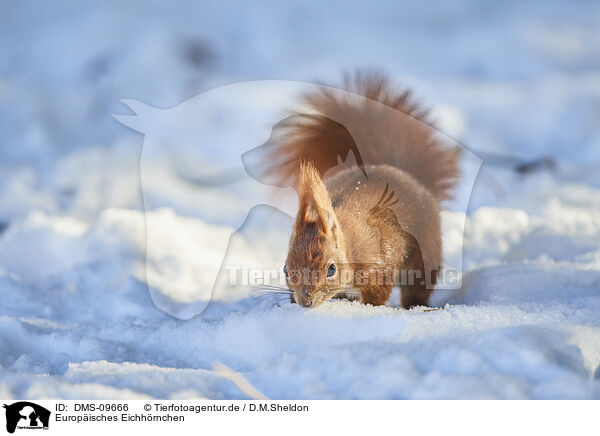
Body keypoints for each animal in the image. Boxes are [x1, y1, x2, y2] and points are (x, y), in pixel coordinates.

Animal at [260, 71, 458, 308]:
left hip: (424, 252)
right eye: (285, 269)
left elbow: (378, 292)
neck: (350, 241)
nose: (305, 302)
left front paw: (367, 309)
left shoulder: (378, 262)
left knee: (418, 287)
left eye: (331, 269)